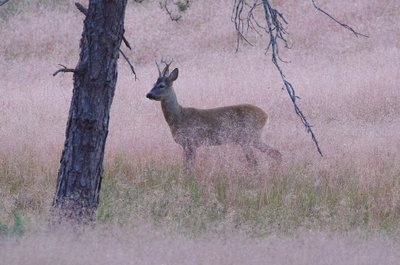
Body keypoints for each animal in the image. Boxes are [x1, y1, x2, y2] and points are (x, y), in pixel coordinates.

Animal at [145, 60, 282, 170]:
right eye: (153, 84)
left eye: (161, 85)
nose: (148, 94)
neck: (179, 117)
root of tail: (266, 116)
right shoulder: (186, 145)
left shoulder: (192, 142)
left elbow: (189, 168)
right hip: (252, 138)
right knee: (274, 153)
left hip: (248, 136)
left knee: (255, 161)